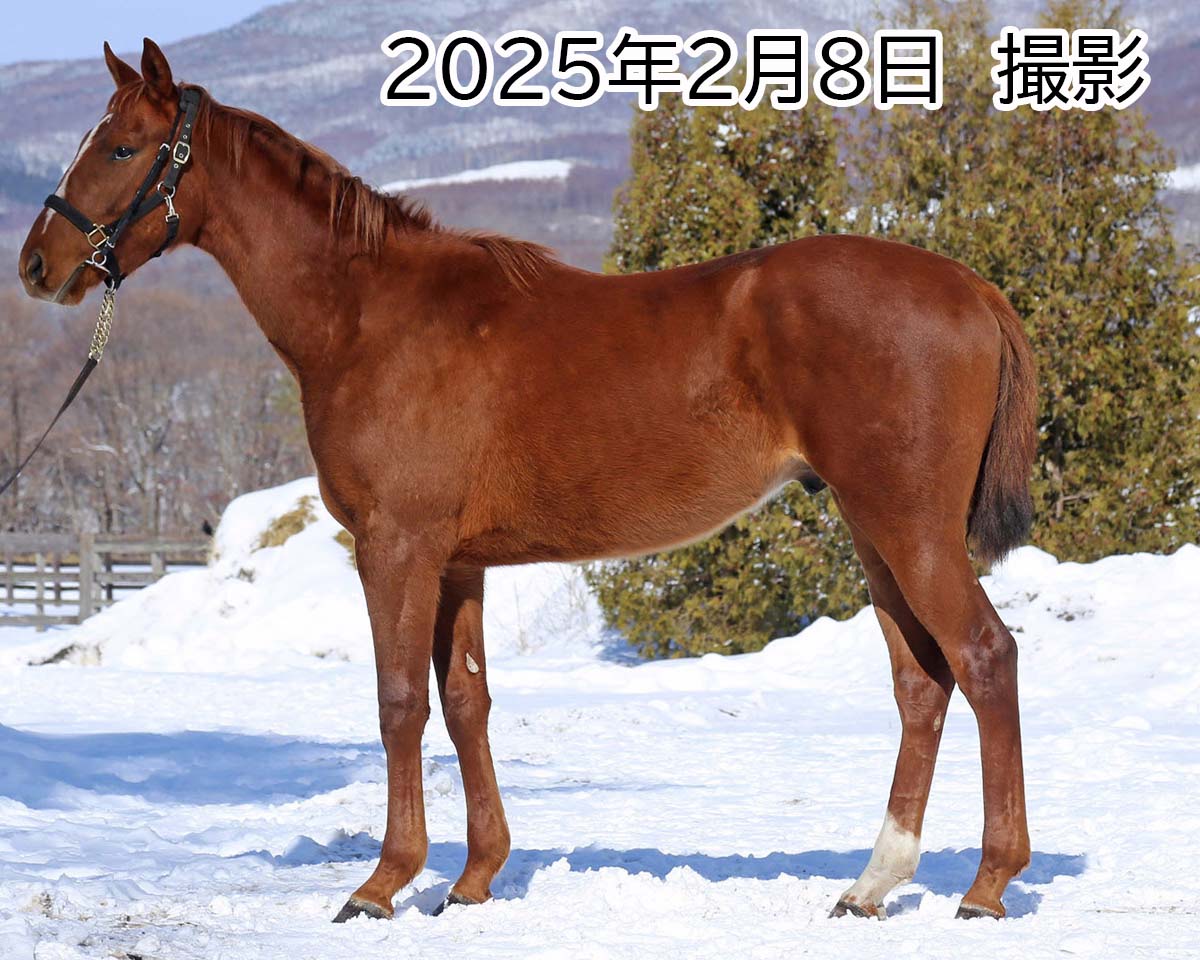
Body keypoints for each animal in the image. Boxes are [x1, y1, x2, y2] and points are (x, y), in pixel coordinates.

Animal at [19, 39, 1038, 924]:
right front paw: (472, 881)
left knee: (984, 657)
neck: (370, 316)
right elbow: (466, 704)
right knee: (921, 683)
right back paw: (871, 884)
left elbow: (399, 704)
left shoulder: (396, 548)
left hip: (908, 528)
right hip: (875, 533)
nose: (37, 264)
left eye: (121, 146)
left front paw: (381, 884)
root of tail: (973, 290)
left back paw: (987, 885)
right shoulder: (457, 563)